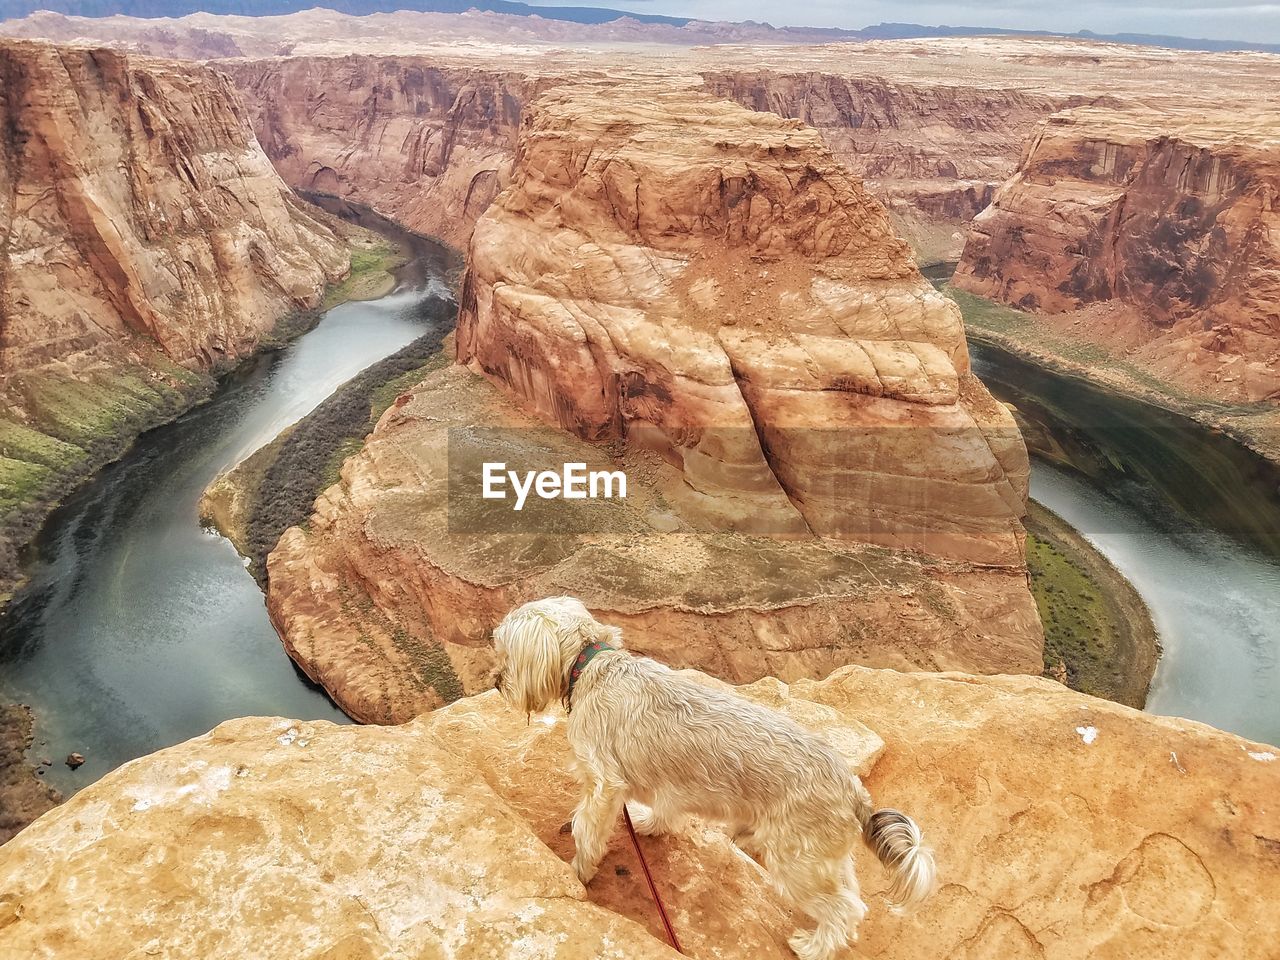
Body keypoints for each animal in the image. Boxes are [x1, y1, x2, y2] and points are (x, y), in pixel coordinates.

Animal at [494, 593, 936, 960]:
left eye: (507, 651)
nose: (497, 682)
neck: (593, 666)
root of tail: (854, 791)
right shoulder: (664, 785)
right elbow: (664, 811)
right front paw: (648, 824)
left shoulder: (603, 784)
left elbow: (587, 830)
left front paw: (577, 872)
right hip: (824, 859)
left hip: (797, 863)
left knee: (847, 909)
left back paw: (813, 947)